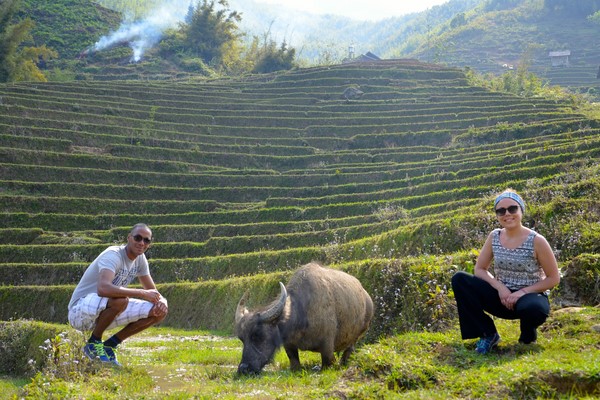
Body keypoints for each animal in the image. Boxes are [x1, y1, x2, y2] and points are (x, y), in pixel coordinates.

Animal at [233, 260, 370, 374]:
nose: (243, 369)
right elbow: (294, 361)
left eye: (258, 336)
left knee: (350, 347)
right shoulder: (289, 344)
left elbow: (328, 362)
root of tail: (366, 295)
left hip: (359, 333)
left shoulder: (327, 346)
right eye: (242, 339)